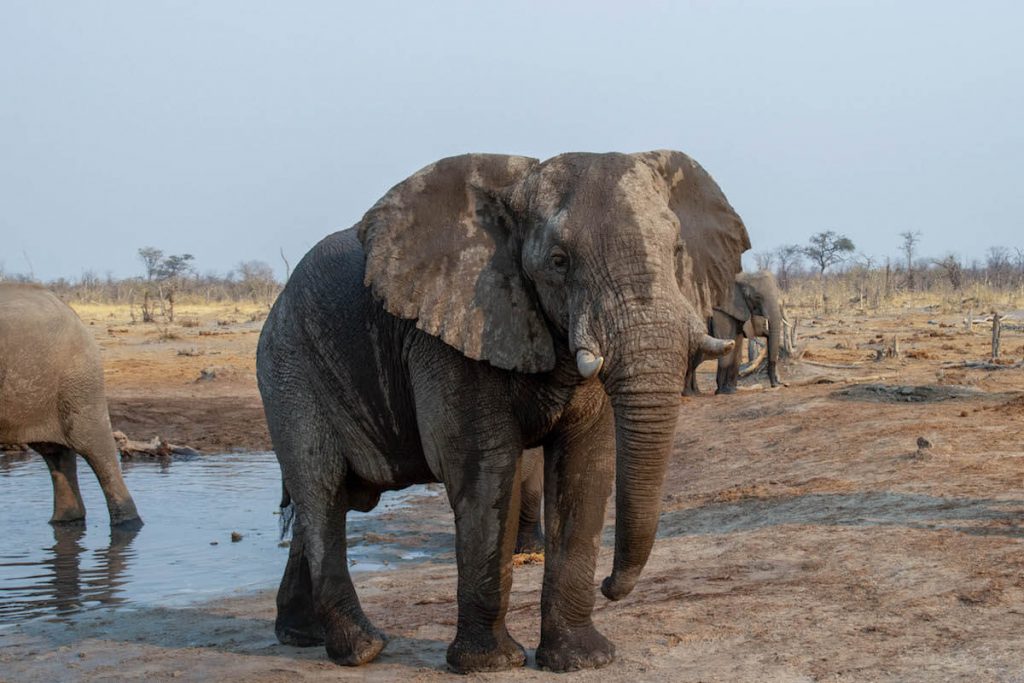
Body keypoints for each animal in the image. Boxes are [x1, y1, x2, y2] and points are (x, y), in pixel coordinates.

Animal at [256, 150, 749, 671]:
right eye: (558, 262)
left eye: (676, 252)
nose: (610, 587)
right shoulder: (452, 336)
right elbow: (485, 472)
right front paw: (490, 664)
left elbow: (586, 468)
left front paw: (583, 660)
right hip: (289, 370)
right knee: (323, 494)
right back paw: (363, 649)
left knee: (330, 500)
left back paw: (302, 636)